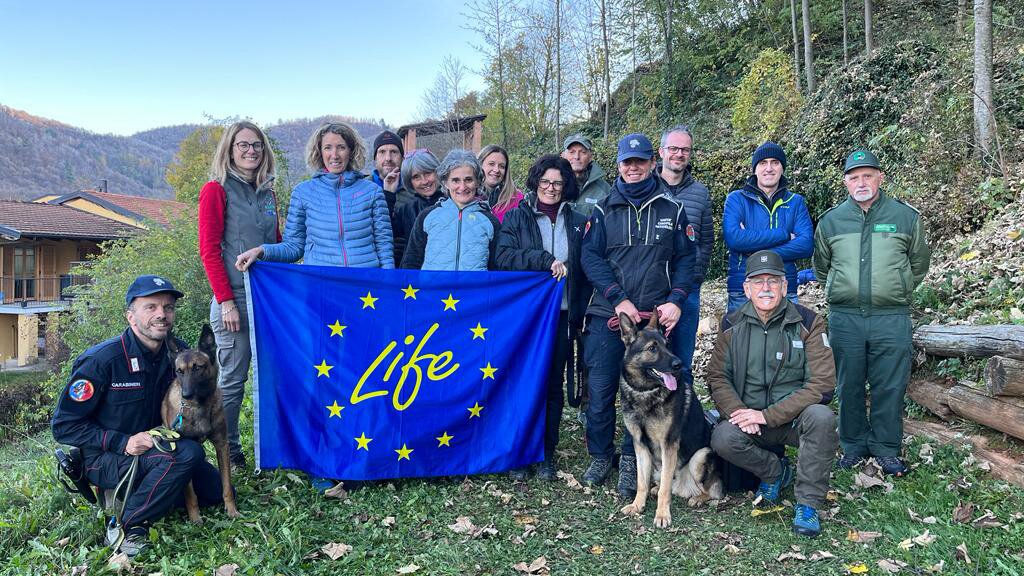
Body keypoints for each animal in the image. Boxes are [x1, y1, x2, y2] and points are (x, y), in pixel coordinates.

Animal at [159, 323, 239, 520]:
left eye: (198, 368)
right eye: (179, 371)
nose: (186, 395)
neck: (200, 405)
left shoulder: (222, 445)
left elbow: (226, 486)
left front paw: (231, 510)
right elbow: (190, 493)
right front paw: (195, 517)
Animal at [614, 311, 720, 528]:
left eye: (667, 343)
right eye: (652, 348)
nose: (678, 364)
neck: (646, 392)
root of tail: (683, 486)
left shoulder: (669, 444)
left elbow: (664, 488)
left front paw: (662, 515)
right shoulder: (639, 445)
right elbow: (641, 482)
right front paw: (637, 505)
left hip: (700, 456)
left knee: (709, 490)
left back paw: (697, 498)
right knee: (663, 482)